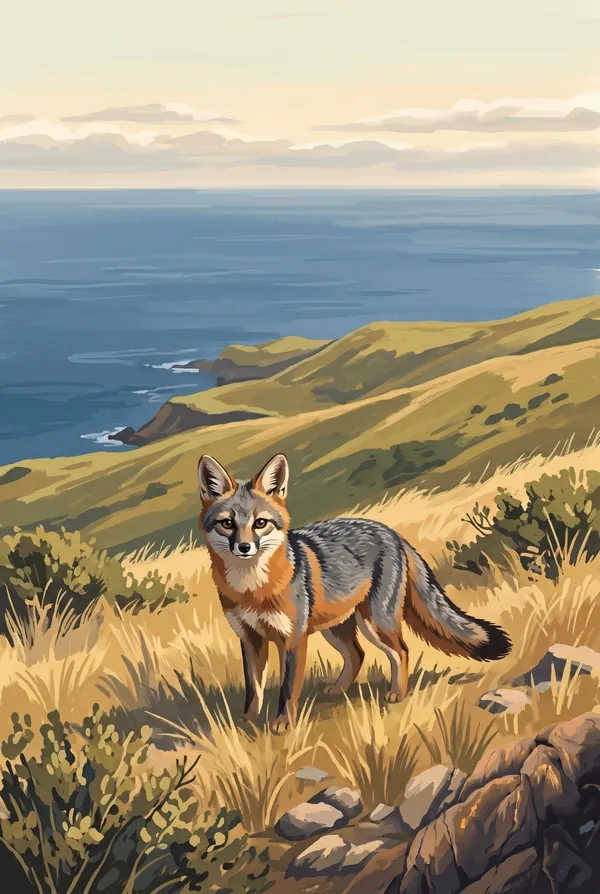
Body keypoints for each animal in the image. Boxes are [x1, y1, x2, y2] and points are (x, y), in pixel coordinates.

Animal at [197, 452, 511, 733]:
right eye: (227, 524)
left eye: (260, 523)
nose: (244, 547)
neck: (252, 590)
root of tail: (392, 533)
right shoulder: (250, 638)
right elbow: (254, 689)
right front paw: (247, 721)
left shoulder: (293, 639)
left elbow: (287, 689)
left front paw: (283, 723)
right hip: (337, 628)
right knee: (357, 655)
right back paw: (338, 689)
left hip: (375, 622)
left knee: (401, 651)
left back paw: (397, 693)